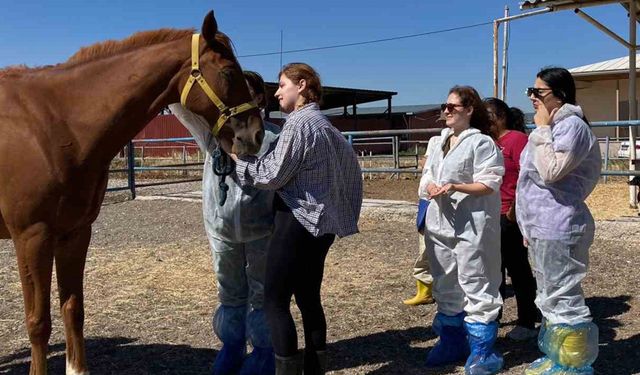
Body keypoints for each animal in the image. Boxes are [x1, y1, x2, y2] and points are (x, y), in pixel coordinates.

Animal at [0, 11, 262, 375]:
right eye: (227, 72)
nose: (256, 134)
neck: (56, 124)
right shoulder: (31, 237)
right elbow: (38, 322)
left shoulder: (75, 233)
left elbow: (73, 309)